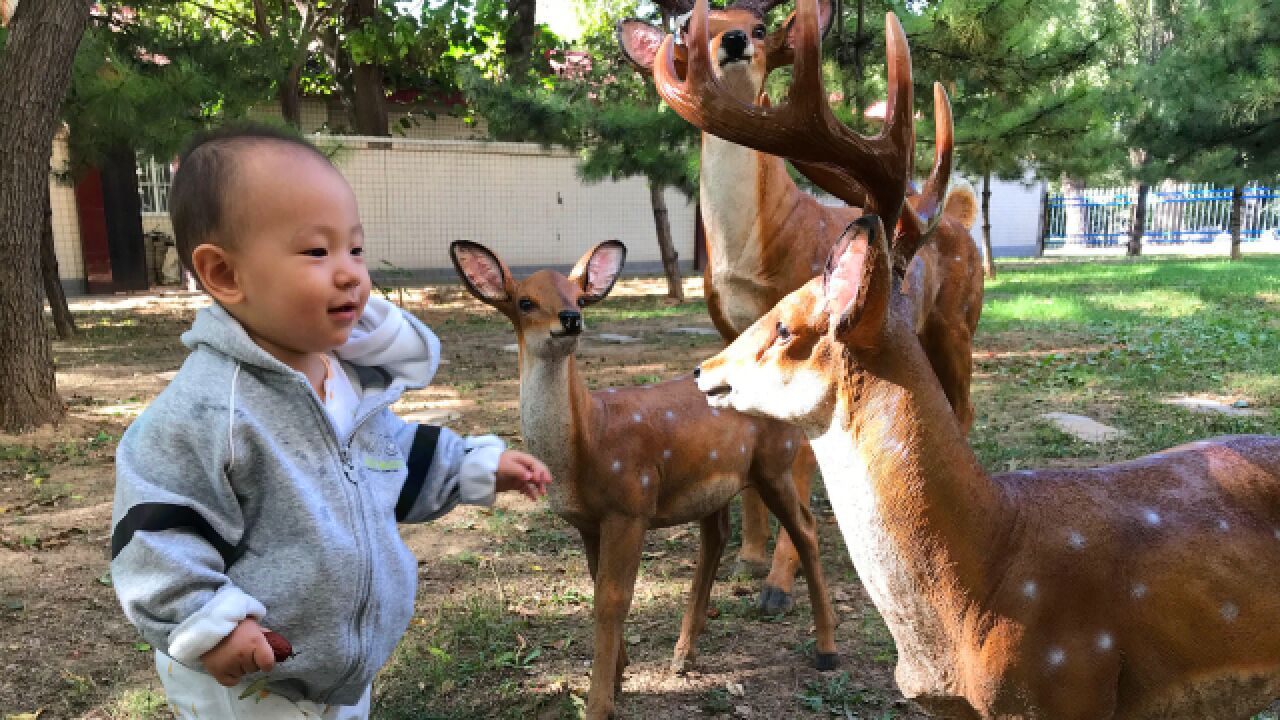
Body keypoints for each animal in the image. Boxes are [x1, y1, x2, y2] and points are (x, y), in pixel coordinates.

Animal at [450, 239, 839, 717]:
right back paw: (683, 654)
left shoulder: (630, 504)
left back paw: (826, 650)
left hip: (776, 463)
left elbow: (613, 600)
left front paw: (599, 701)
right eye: (525, 301)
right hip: (711, 484)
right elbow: (598, 588)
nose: (570, 318)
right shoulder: (589, 522)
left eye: (579, 297)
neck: (588, 440)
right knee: (717, 537)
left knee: (806, 529)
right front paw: (618, 677)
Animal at [619, 0, 977, 609]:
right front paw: (749, 553)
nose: (734, 41)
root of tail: (959, 217)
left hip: (959, 324)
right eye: (689, 29)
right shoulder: (728, 327)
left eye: (761, 28)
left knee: (965, 406)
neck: (750, 246)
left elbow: (803, 454)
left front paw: (779, 581)